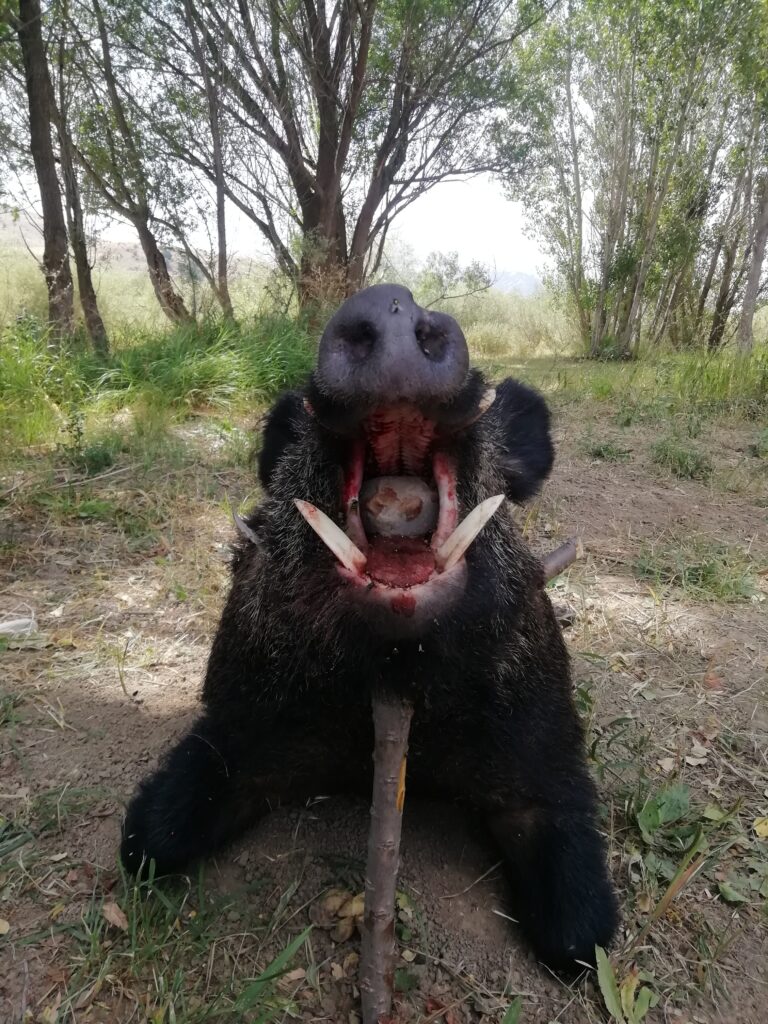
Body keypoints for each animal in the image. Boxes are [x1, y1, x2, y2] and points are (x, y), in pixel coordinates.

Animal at [121, 284, 618, 970]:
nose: (394, 301)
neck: (393, 677)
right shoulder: (240, 720)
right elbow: (151, 838)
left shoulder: (543, 747)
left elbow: (578, 934)